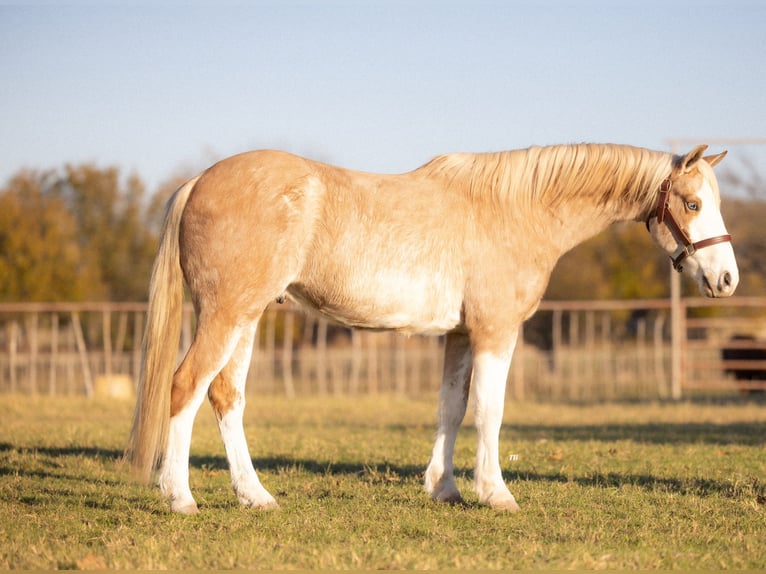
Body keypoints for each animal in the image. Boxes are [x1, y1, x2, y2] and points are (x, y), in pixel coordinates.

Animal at [126, 142, 736, 516]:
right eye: (691, 203)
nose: (726, 279)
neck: (516, 210)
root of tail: (199, 180)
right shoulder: (495, 331)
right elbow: (490, 410)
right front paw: (495, 493)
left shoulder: (460, 336)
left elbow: (452, 408)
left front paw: (444, 488)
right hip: (226, 314)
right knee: (185, 388)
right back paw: (179, 497)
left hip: (248, 317)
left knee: (226, 396)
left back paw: (255, 496)